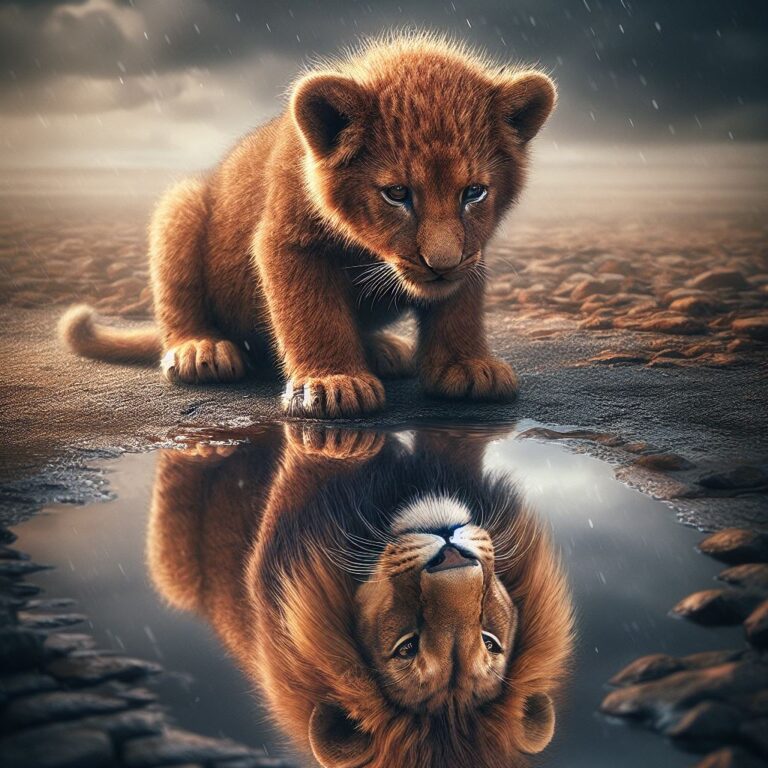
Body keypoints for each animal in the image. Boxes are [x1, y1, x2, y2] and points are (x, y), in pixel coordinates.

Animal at [59, 32, 556, 418]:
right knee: (178, 303)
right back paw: (200, 350)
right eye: (397, 194)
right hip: (181, 205)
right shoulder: (289, 241)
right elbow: (313, 313)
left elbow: (460, 306)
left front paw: (467, 368)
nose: (442, 264)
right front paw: (334, 383)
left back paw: (383, 350)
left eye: (474, 193)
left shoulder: (473, 252)